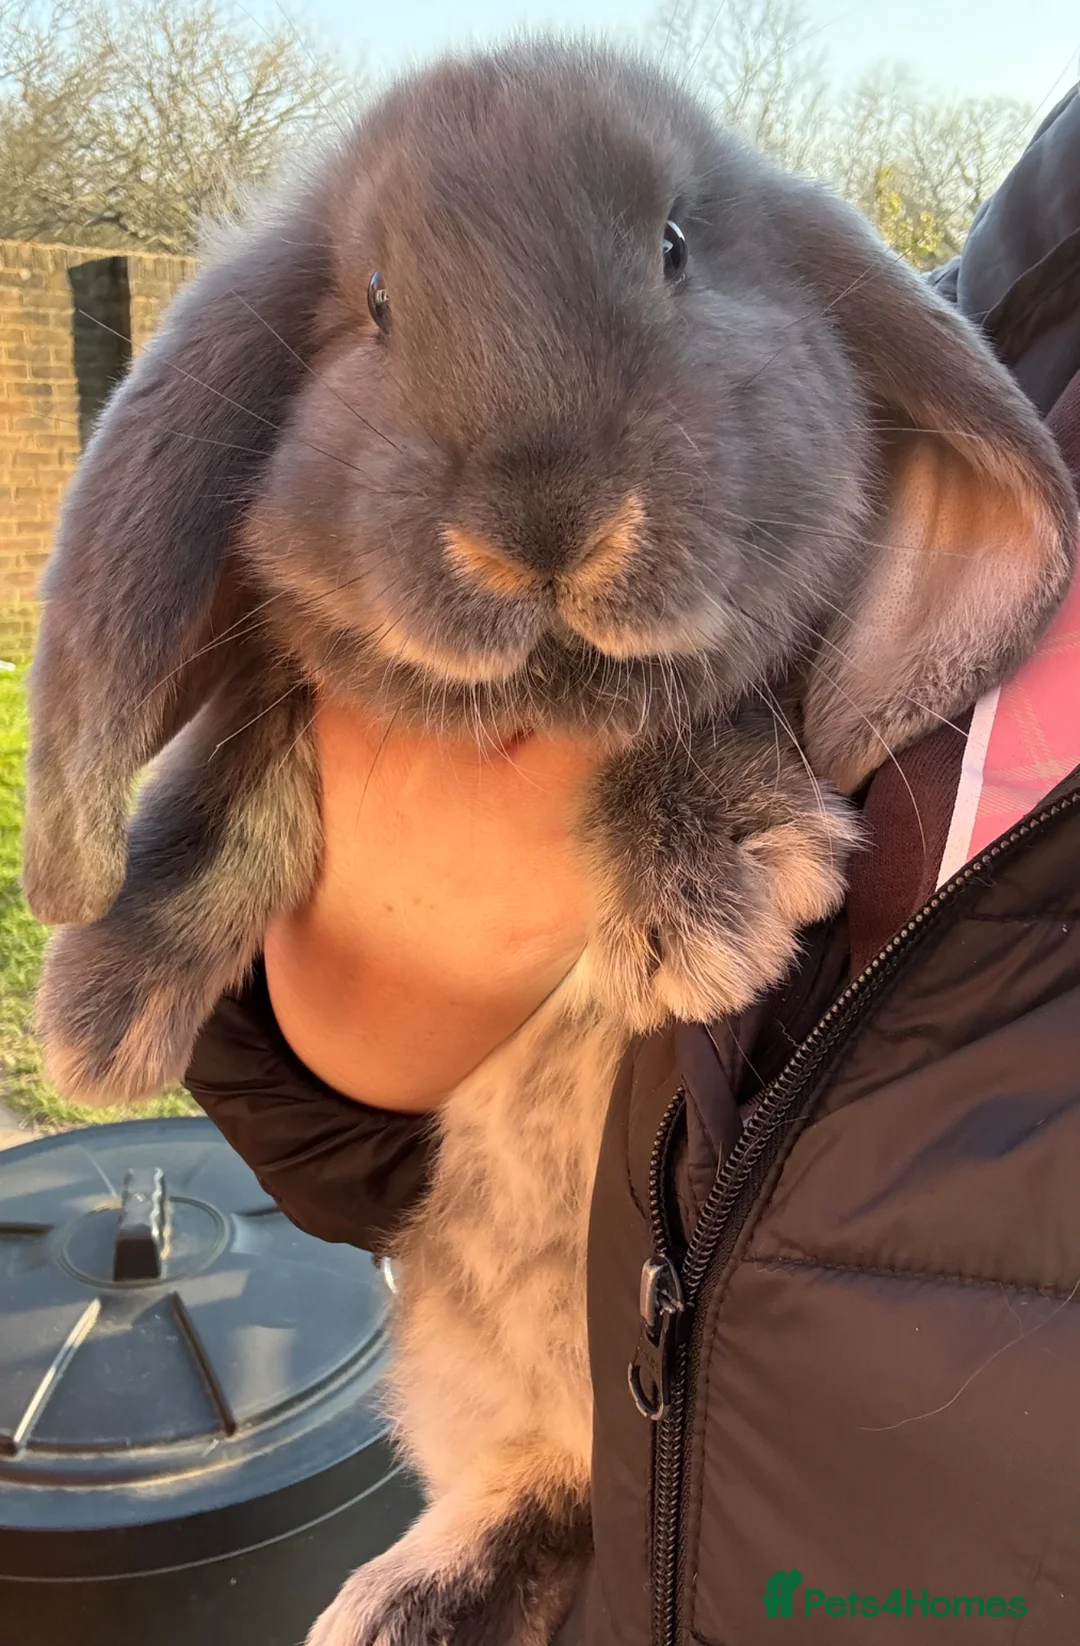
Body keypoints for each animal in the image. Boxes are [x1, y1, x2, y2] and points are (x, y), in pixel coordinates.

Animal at [22, 38, 1076, 1646]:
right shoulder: (282, 694)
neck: (542, 692)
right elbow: (236, 790)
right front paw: (99, 1015)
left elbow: (712, 709)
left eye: (676, 247)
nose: (544, 517)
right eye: (376, 302)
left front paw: (712, 897)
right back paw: (400, 1600)